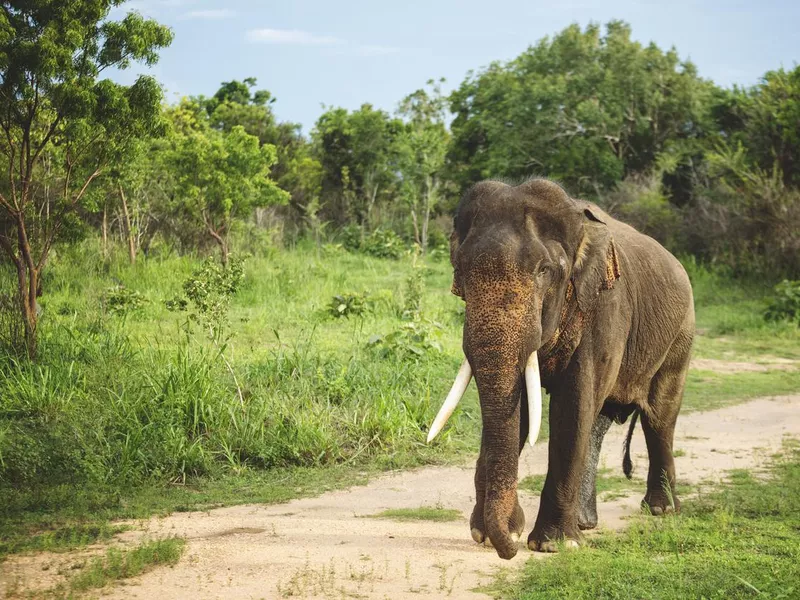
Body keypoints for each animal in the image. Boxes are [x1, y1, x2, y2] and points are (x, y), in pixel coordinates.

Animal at [424, 177, 692, 556]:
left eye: (544, 271)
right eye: (460, 271)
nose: (509, 542)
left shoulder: (603, 306)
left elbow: (572, 404)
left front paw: (552, 544)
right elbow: (520, 410)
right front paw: (492, 534)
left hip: (681, 335)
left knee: (659, 415)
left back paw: (660, 509)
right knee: (600, 420)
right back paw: (585, 522)